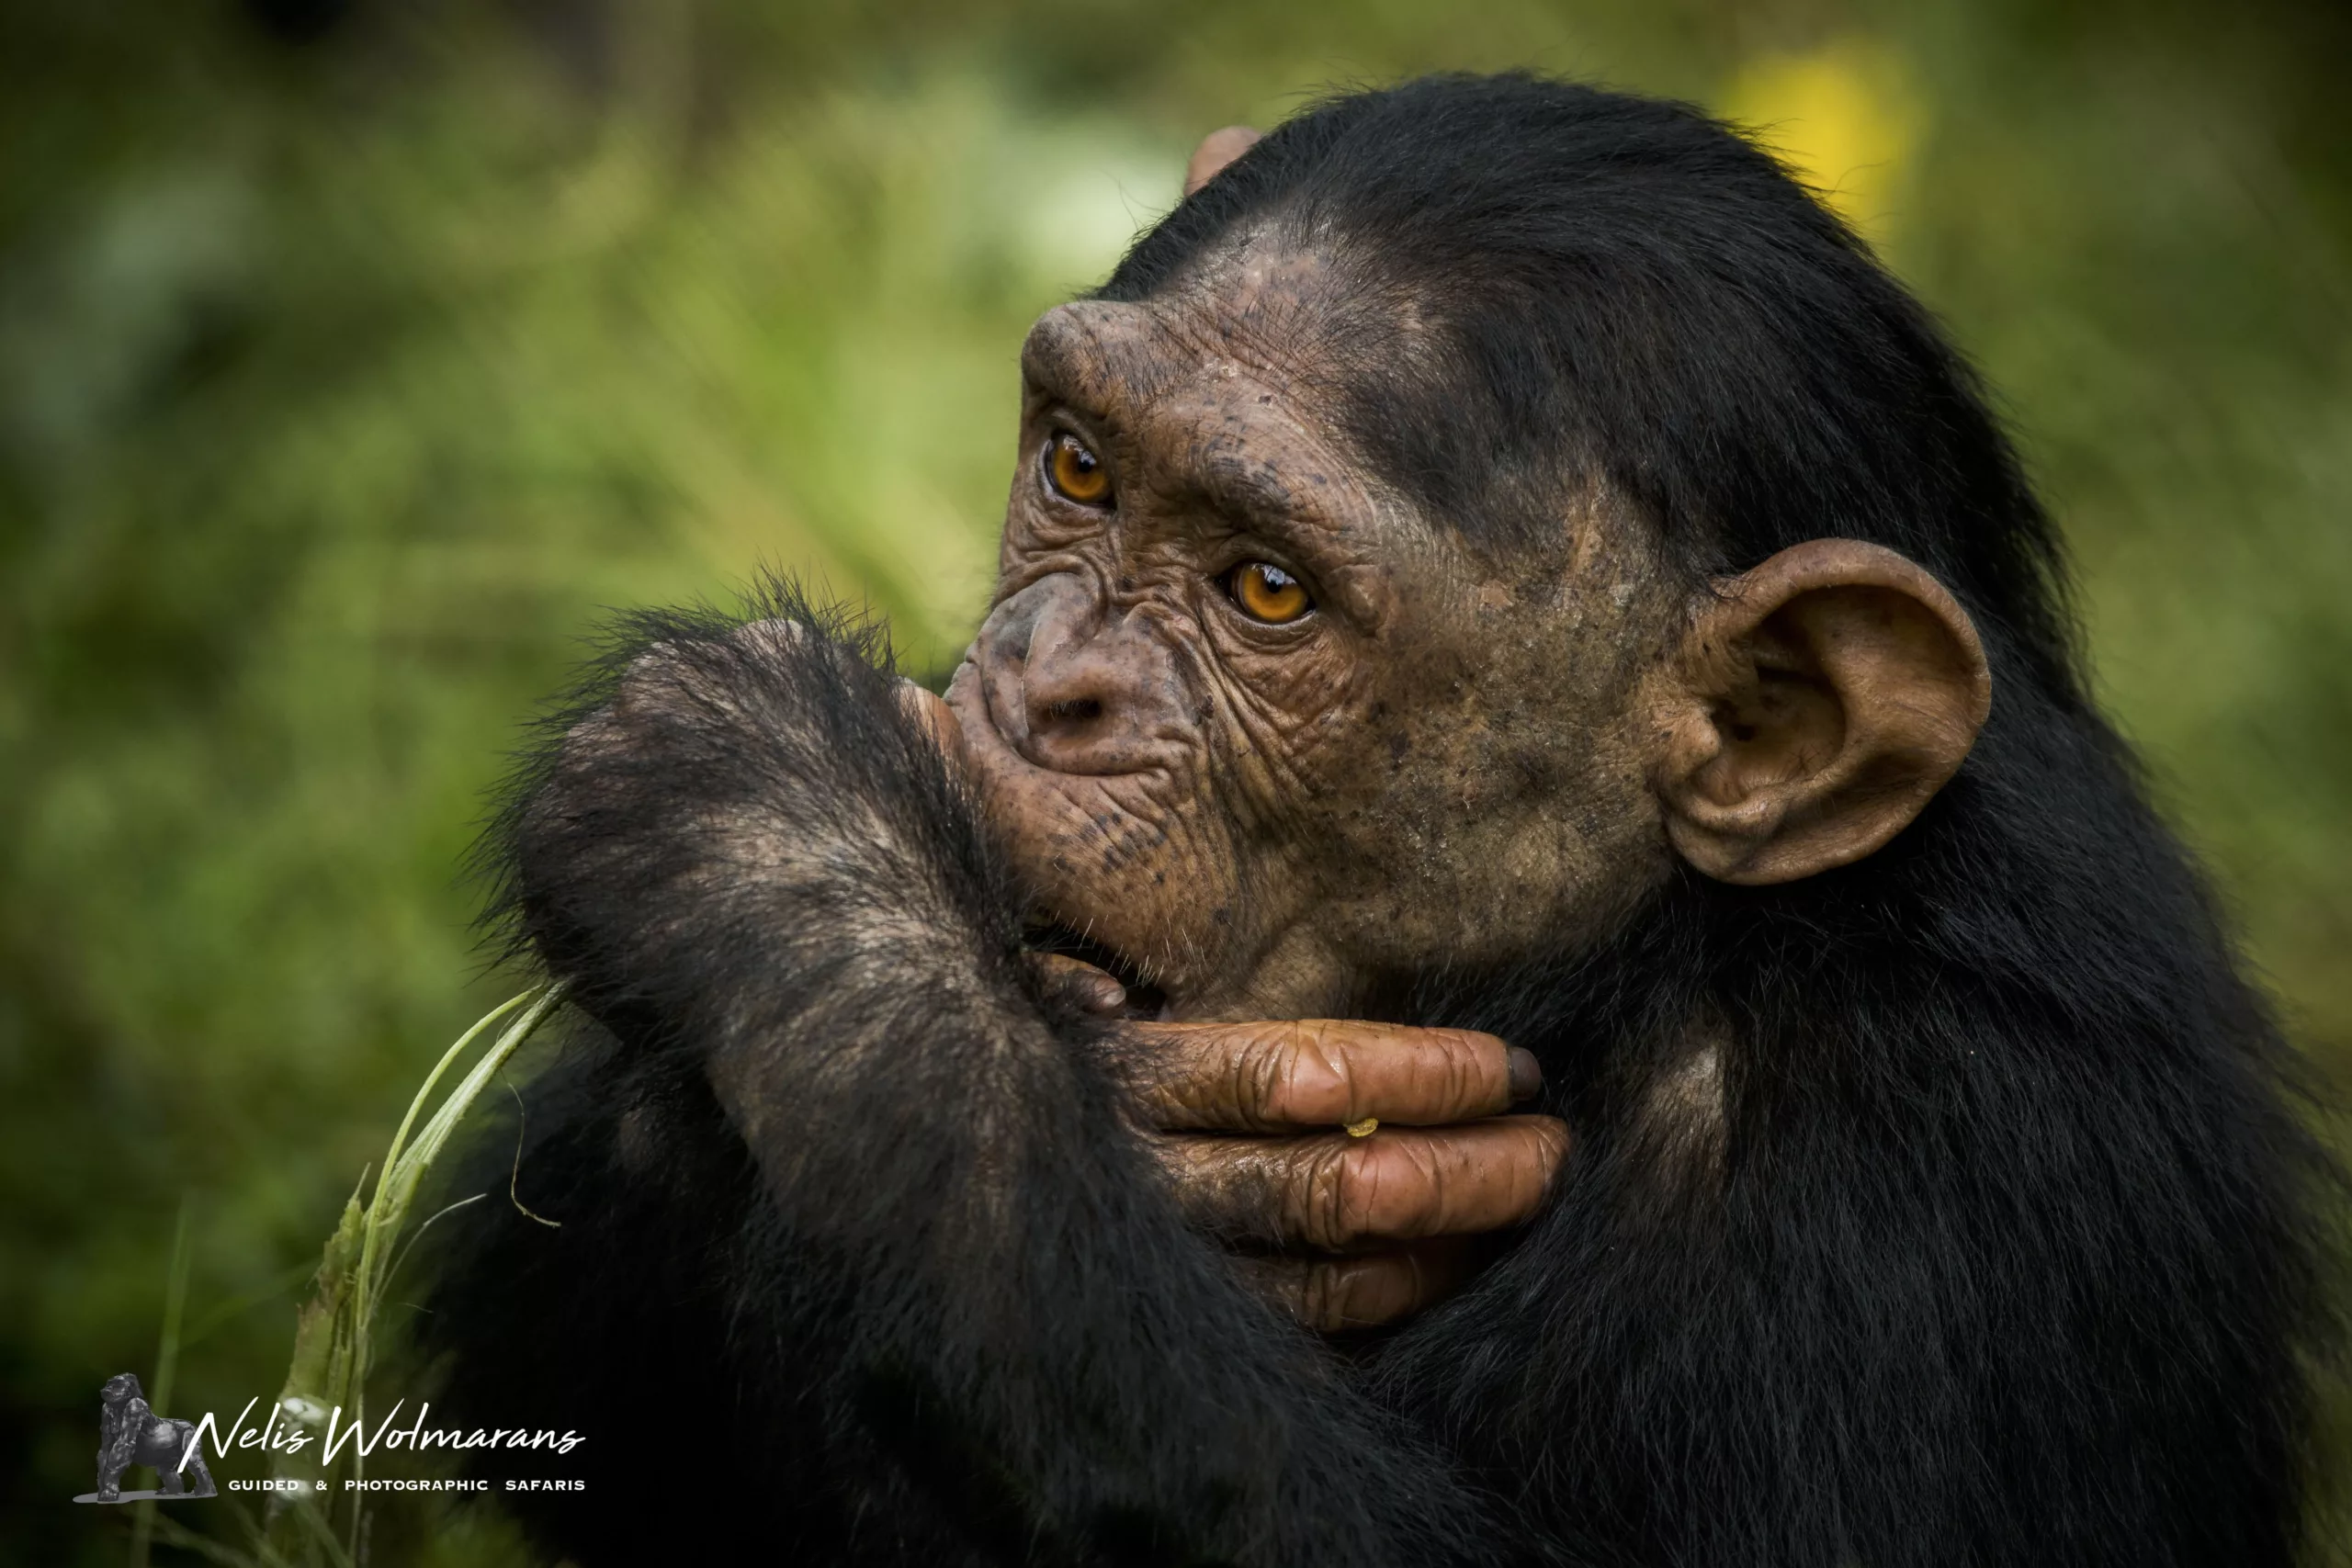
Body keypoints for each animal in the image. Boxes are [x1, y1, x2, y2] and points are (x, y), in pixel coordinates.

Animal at [423, 73, 2333, 1568]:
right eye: (1083, 469)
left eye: (1268, 591)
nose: (1049, 687)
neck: (1635, 967)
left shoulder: (1944, 1167)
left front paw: (766, 848)